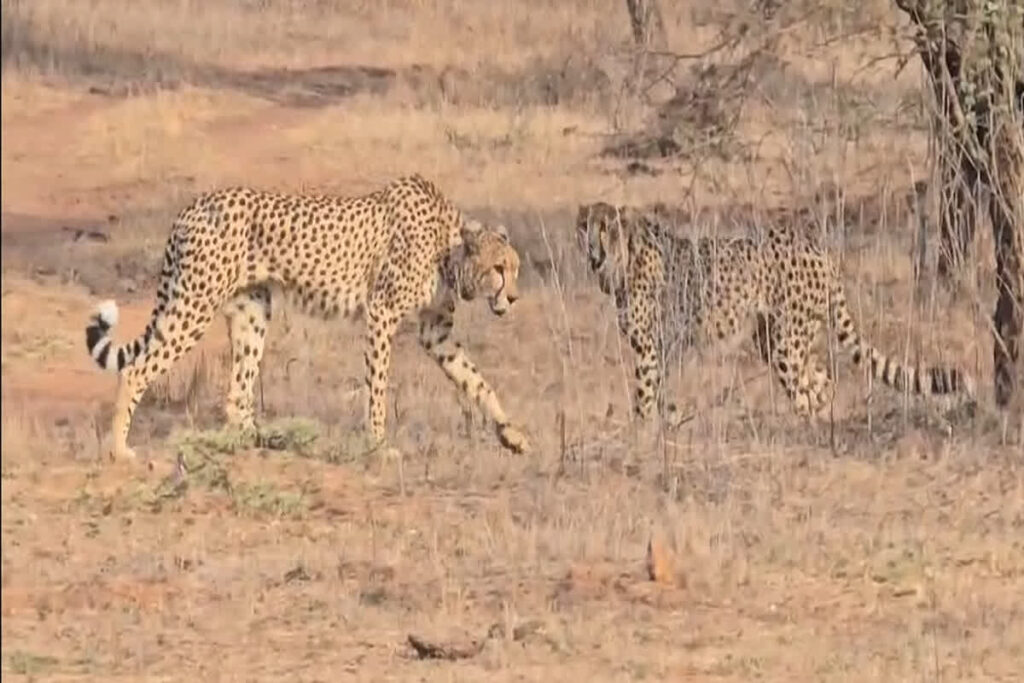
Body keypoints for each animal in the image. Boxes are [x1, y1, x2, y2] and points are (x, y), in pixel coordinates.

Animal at [85, 174, 530, 460]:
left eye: (516, 269)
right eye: (499, 269)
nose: (513, 297)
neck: (448, 246)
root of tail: (192, 206)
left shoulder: (435, 331)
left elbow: (477, 380)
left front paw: (511, 434)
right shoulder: (381, 314)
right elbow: (378, 388)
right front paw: (378, 446)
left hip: (252, 311)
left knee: (237, 393)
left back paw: (261, 440)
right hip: (195, 304)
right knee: (137, 370)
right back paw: (119, 450)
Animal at [576, 201, 974, 422]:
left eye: (606, 227)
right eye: (584, 226)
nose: (592, 248)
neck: (621, 258)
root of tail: (818, 248)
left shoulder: (650, 348)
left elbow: (645, 393)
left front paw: (641, 433)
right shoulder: (663, 347)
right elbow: (657, 391)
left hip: (786, 342)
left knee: (806, 388)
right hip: (774, 338)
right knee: (822, 382)